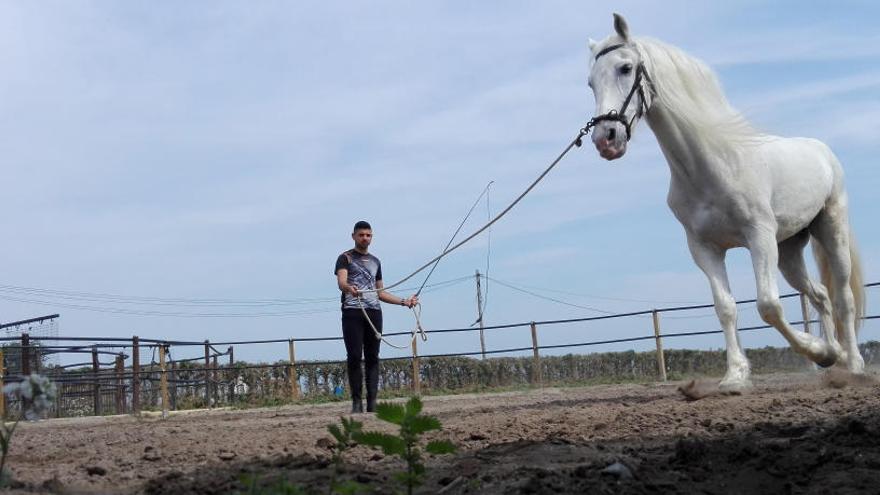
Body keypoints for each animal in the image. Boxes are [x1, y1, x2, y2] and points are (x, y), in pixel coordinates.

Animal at [588, 12, 864, 392]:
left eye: (625, 68)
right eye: (590, 83)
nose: (606, 139)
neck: (713, 163)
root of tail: (822, 151)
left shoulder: (758, 237)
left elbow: (768, 306)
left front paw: (814, 351)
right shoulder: (705, 248)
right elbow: (726, 308)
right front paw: (736, 376)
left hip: (830, 229)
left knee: (842, 298)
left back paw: (852, 363)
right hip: (789, 251)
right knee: (820, 294)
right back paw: (831, 356)